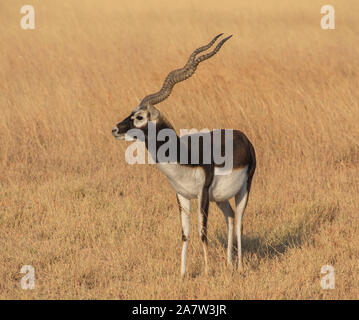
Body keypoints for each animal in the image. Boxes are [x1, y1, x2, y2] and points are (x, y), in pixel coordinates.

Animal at [112, 33, 256, 276]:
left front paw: (206, 271)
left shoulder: (202, 194)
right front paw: (182, 274)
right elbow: (185, 234)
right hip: (221, 198)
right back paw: (228, 263)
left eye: (139, 117)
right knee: (229, 217)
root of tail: (243, 137)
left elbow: (202, 232)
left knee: (238, 222)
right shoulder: (181, 195)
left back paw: (239, 266)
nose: (115, 129)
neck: (183, 157)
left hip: (244, 189)